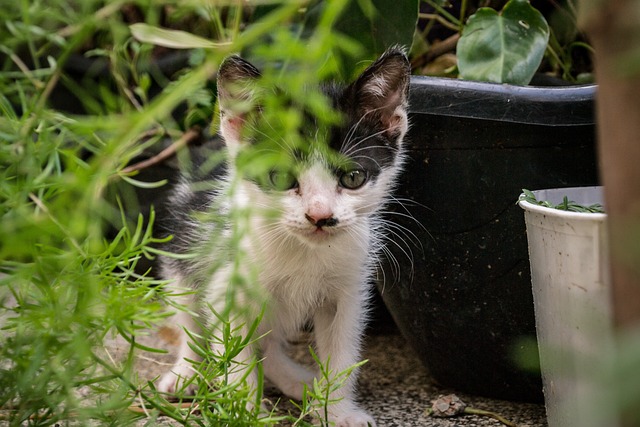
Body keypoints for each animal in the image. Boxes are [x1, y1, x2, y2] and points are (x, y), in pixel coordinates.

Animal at [158, 48, 412, 426]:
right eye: (279, 178)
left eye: (352, 177)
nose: (320, 216)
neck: (302, 251)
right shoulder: (225, 287)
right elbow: (236, 356)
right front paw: (245, 412)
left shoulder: (347, 292)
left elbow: (341, 353)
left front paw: (337, 411)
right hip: (183, 254)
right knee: (191, 316)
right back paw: (185, 372)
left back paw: (298, 381)